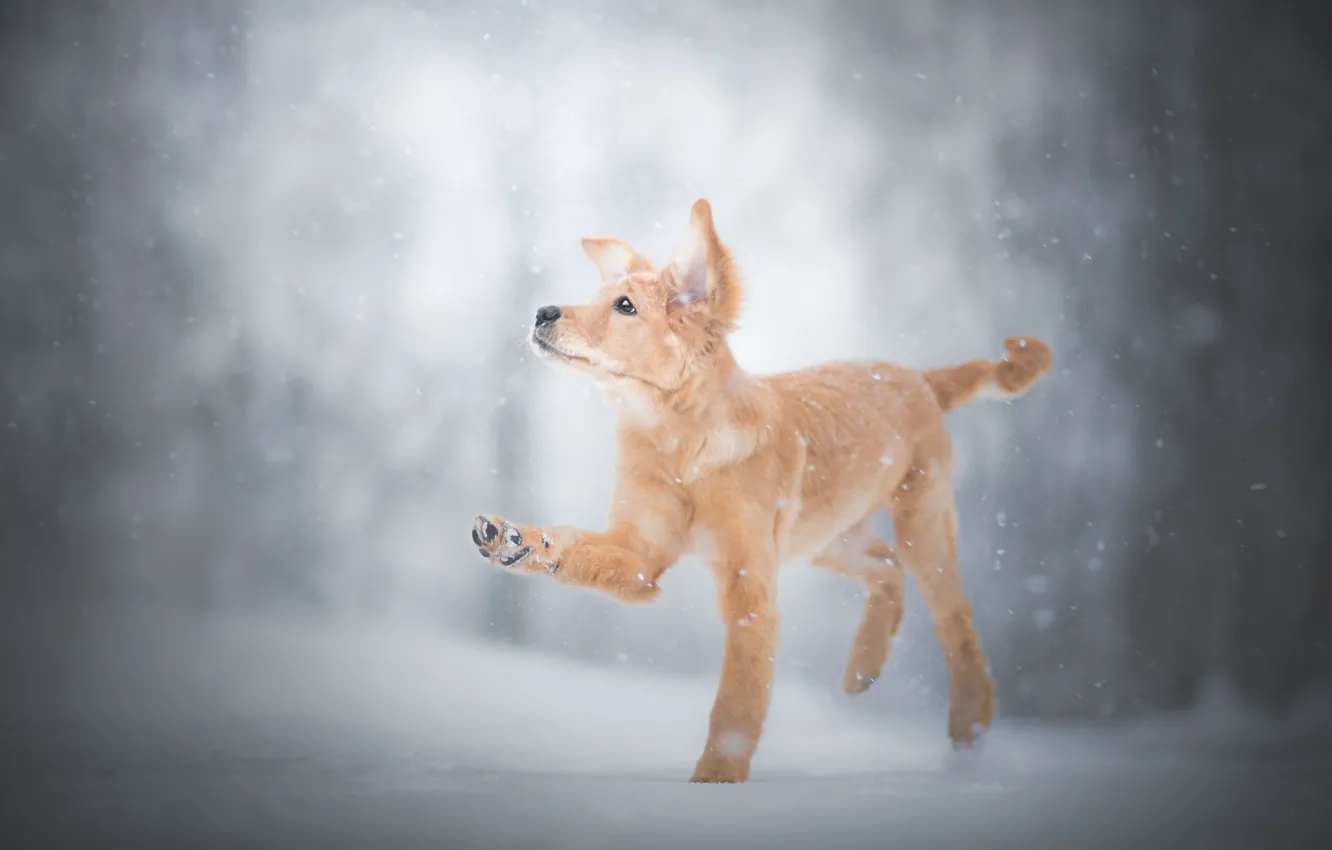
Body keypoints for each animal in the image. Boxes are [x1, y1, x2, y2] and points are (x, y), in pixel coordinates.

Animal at [474, 199, 1054, 788]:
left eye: (625, 306)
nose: (542, 312)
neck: (679, 442)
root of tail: (921, 378)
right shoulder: (641, 555)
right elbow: (574, 547)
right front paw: (516, 539)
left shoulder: (749, 586)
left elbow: (738, 697)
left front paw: (716, 778)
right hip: (826, 534)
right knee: (885, 567)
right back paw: (864, 667)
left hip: (922, 522)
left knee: (954, 614)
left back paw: (969, 729)